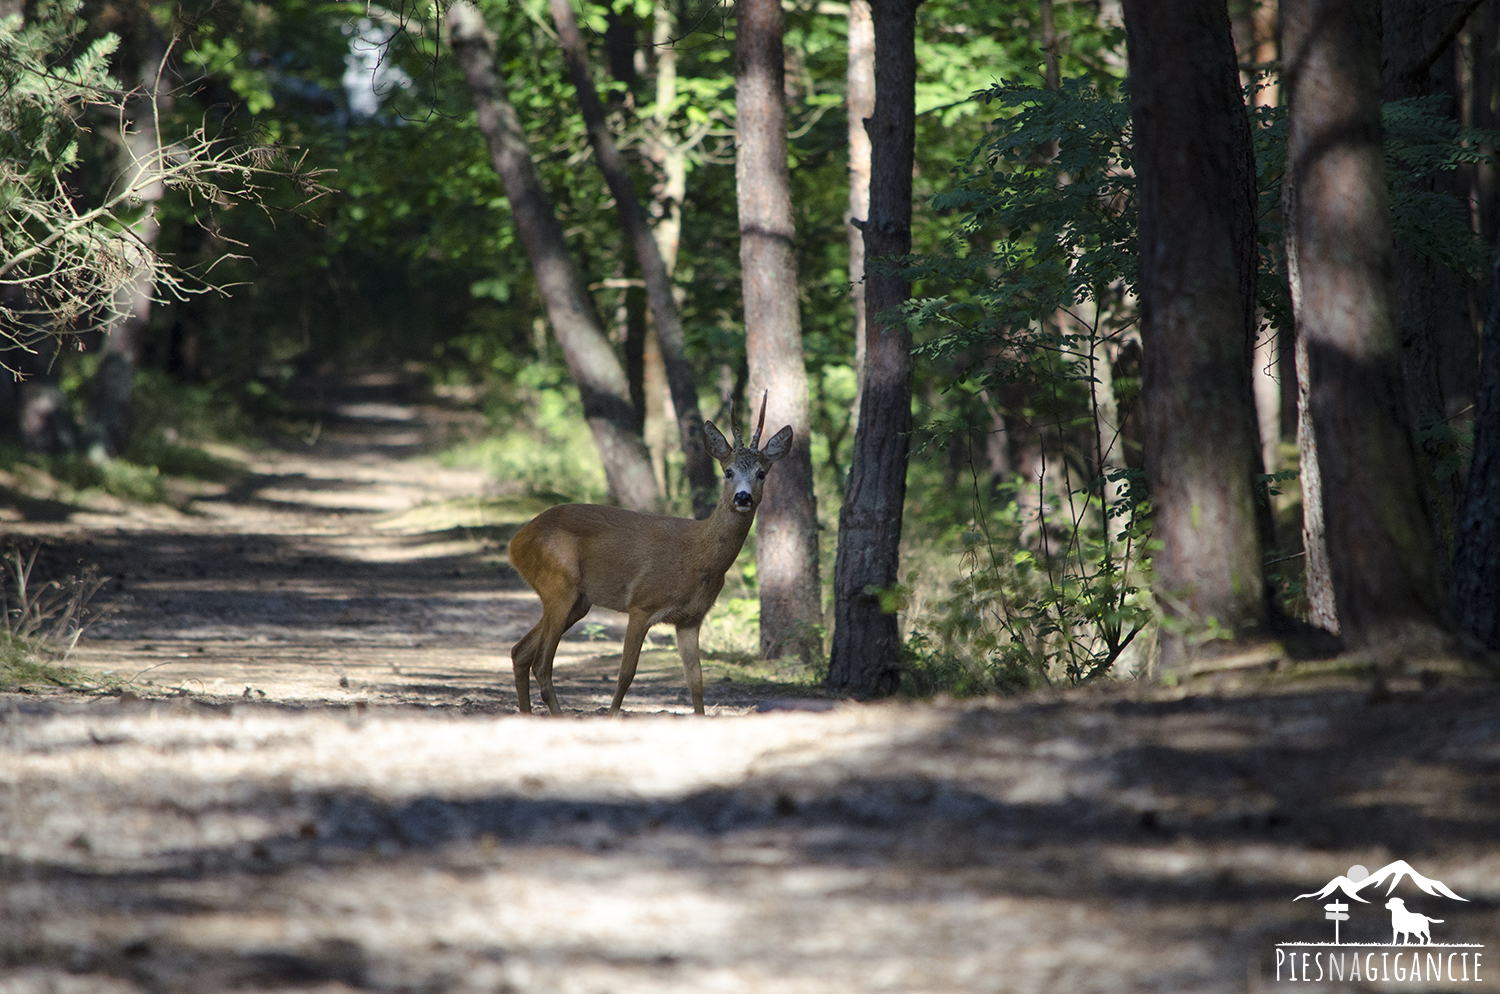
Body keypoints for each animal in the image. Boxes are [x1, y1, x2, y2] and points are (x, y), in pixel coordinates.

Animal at [507, 395, 792, 716]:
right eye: (728, 471)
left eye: (762, 473)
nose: (742, 497)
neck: (698, 557)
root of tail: (516, 542)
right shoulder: (641, 605)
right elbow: (626, 673)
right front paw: (612, 716)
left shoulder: (691, 619)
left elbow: (696, 682)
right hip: (558, 585)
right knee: (542, 663)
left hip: (578, 601)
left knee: (520, 652)